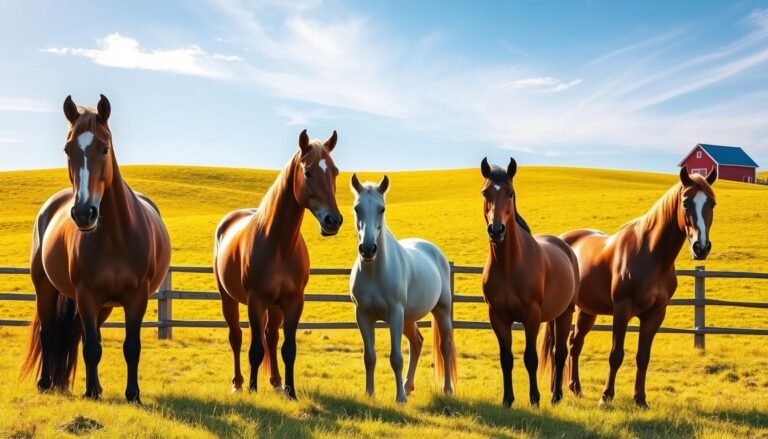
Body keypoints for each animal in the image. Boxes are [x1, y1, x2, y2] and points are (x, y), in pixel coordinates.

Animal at [21, 95, 171, 403]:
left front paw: (132, 394)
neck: (115, 237)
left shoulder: (136, 297)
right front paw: (90, 392)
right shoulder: (86, 295)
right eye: (67, 149)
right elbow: (91, 347)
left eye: (104, 148)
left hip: (103, 306)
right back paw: (45, 382)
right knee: (48, 333)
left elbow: (130, 346)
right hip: (46, 289)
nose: (83, 213)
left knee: (79, 333)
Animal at [214, 129, 343, 399]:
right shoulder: (255, 301)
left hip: (274, 307)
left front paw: (291, 391)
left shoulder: (294, 302)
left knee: (271, 337)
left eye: (335, 171)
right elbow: (254, 349)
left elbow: (288, 348)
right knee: (236, 337)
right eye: (308, 172)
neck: (279, 244)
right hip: (228, 298)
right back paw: (238, 383)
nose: (333, 221)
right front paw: (253, 388)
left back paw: (276, 382)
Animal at [349, 174, 456, 403]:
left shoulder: (395, 314)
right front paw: (370, 394)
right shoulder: (363, 316)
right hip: (408, 318)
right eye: (357, 208)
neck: (375, 272)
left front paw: (400, 399)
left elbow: (396, 358)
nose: (368, 249)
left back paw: (446, 389)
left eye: (381, 209)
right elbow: (369, 357)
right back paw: (408, 386)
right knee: (416, 343)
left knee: (445, 346)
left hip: (441, 311)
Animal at [480, 158, 579, 407]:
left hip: (566, 314)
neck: (509, 264)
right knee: (554, 353)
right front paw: (507, 399)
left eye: (511, 193)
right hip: (553, 315)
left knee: (560, 353)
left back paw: (556, 396)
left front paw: (534, 398)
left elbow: (530, 358)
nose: (496, 230)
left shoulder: (531, 316)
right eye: (485, 193)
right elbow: (506, 358)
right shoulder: (497, 316)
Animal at [561, 166, 717, 408]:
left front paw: (640, 399)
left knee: (575, 344)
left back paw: (575, 388)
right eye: (685, 203)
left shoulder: (655, 314)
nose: (701, 248)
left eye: (712, 203)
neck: (651, 254)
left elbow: (643, 356)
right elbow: (616, 354)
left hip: (587, 311)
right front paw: (606, 397)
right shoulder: (622, 310)